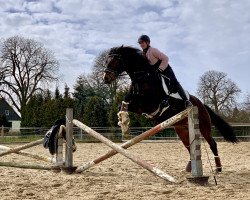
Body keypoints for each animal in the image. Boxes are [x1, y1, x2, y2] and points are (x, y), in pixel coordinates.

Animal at [102, 45, 238, 172]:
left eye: (114, 61)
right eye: (106, 61)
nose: (105, 78)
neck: (143, 77)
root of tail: (201, 104)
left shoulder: (149, 104)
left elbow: (130, 101)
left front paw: (124, 122)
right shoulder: (137, 103)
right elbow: (123, 103)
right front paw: (123, 123)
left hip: (203, 126)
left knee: (212, 144)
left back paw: (218, 167)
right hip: (182, 129)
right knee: (189, 146)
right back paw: (189, 168)